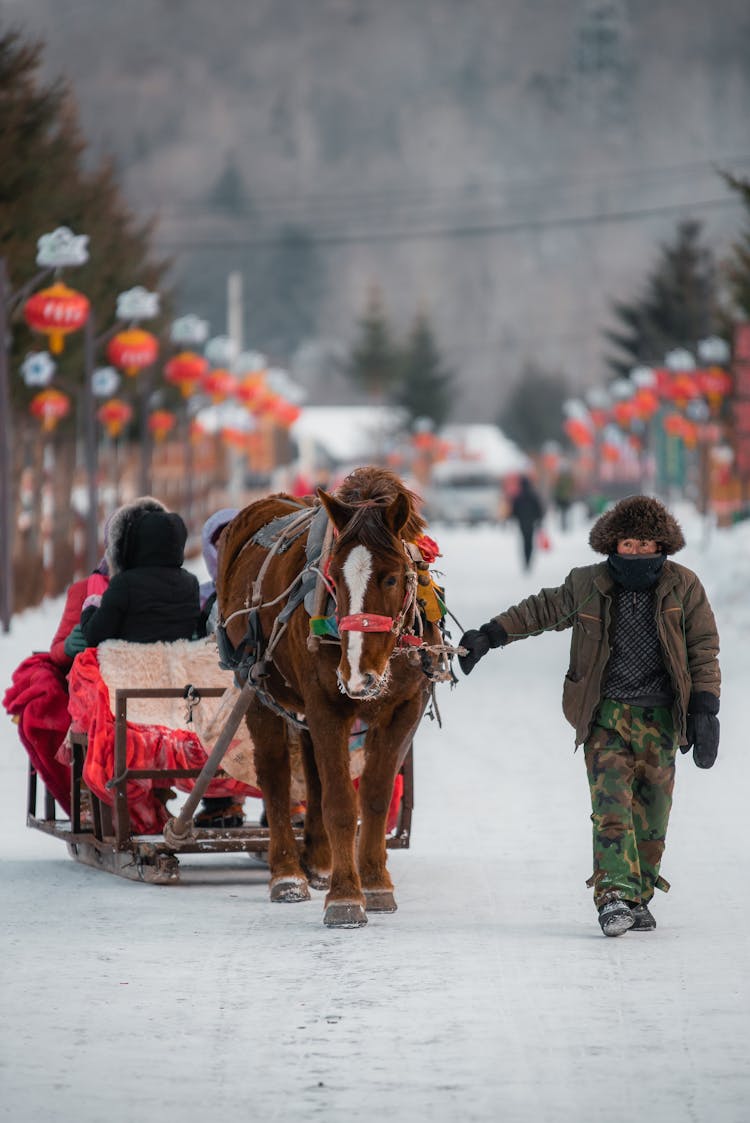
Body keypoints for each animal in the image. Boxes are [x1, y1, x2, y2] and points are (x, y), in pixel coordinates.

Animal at [216, 464, 451, 929]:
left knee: (311, 771)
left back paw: (320, 862)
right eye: (334, 576)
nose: (357, 675)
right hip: (256, 686)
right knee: (276, 774)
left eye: (392, 576)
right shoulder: (327, 705)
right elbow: (341, 803)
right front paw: (345, 897)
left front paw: (375, 884)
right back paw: (287, 873)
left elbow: (373, 797)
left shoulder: (405, 708)